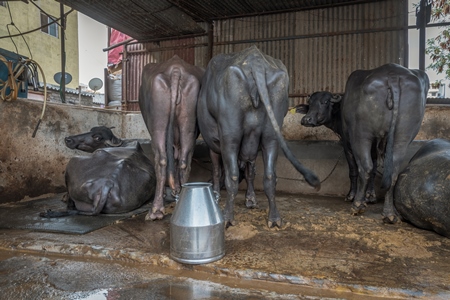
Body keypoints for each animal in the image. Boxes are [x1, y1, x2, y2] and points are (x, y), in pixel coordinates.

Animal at [139, 54, 206, 220]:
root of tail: (176, 69)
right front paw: (176, 188)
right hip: (188, 125)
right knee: (184, 160)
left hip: (158, 125)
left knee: (161, 159)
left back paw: (156, 210)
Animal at [197, 45, 320, 227]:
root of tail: (256, 61)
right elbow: (251, 172)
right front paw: (251, 200)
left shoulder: (213, 143)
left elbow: (218, 171)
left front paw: (217, 195)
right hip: (271, 134)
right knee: (270, 176)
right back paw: (274, 219)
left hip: (230, 134)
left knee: (232, 175)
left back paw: (227, 217)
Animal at [296, 63, 428, 223]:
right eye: (310, 103)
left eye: (325, 102)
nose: (306, 119)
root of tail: (392, 74)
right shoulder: (375, 147)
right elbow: (375, 169)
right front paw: (370, 196)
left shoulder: (347, 144)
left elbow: (354, 170)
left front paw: (353, 196)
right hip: (402, 137)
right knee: (393, 172)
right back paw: (390, 213)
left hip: (361, 135)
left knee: (365, 167)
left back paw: (357, 204)